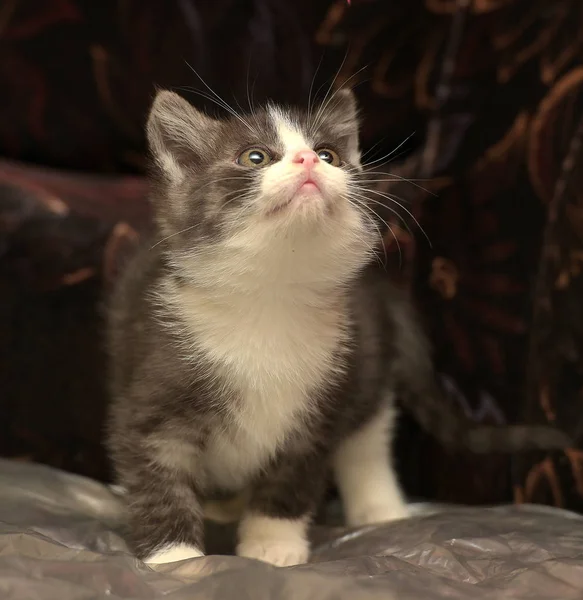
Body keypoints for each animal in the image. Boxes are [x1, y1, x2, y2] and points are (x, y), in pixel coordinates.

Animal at [106, 88, 572, 568]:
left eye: (329, 153)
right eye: (254, 156)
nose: (309, 159)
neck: (270, 297)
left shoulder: (325, 402)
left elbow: (292, 478)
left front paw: (272, 543)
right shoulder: (153, 390)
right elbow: (158, 475)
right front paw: (176, 557)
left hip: (370, 365)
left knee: (368, 441)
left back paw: (381, 510)